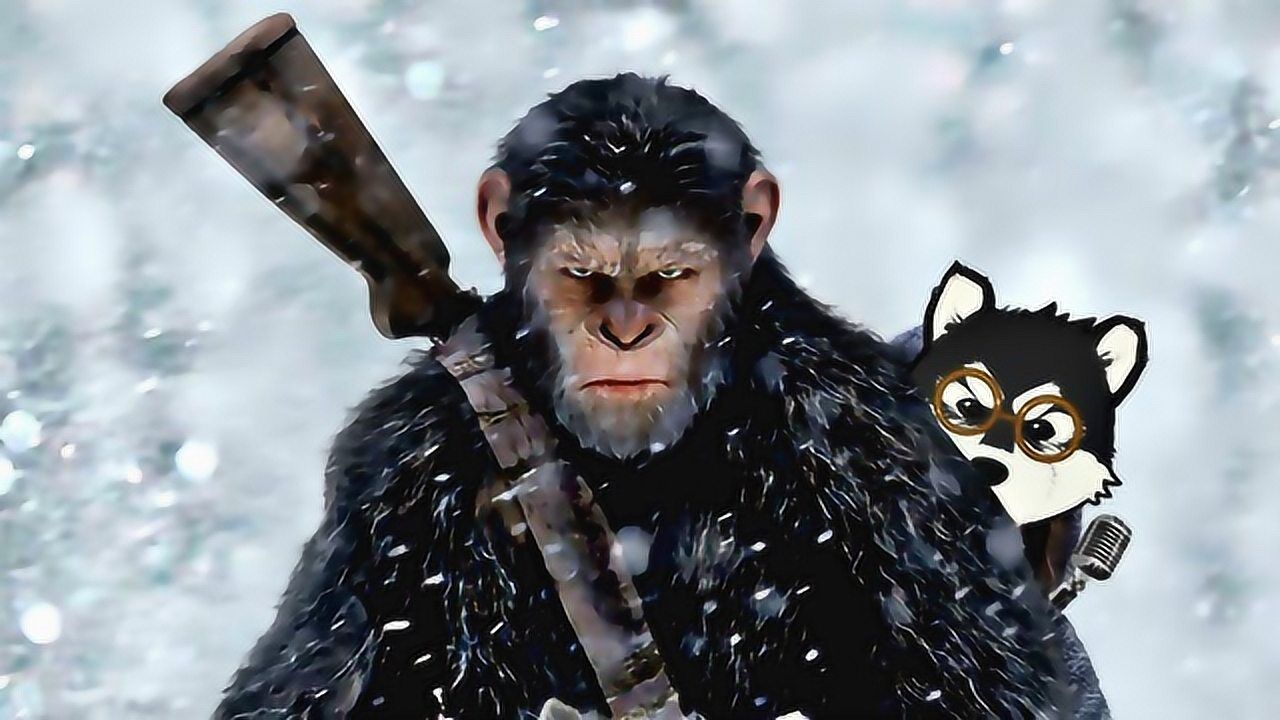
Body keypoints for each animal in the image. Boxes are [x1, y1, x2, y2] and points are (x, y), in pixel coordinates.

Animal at [213, 74, 1096, 719]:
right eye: (579, 270)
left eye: (674, 271)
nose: (626, 332)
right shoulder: (385, 469)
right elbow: (305, 681)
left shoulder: (877, 452)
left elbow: (991, 684)